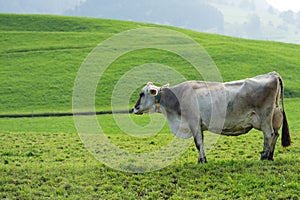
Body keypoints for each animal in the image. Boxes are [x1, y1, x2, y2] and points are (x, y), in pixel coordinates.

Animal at [132, 72, 290, 163]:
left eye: (141, 94)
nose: (134, 108)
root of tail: (272, 74)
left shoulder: (194, 122)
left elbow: (198, 143)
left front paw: (202, 160)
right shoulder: (199, 125)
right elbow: (201, 142)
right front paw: (201, 159)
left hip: (265, 117)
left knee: (268, 135)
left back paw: (263, 157)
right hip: (274, 117)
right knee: (275, 135)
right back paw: (270, 156)